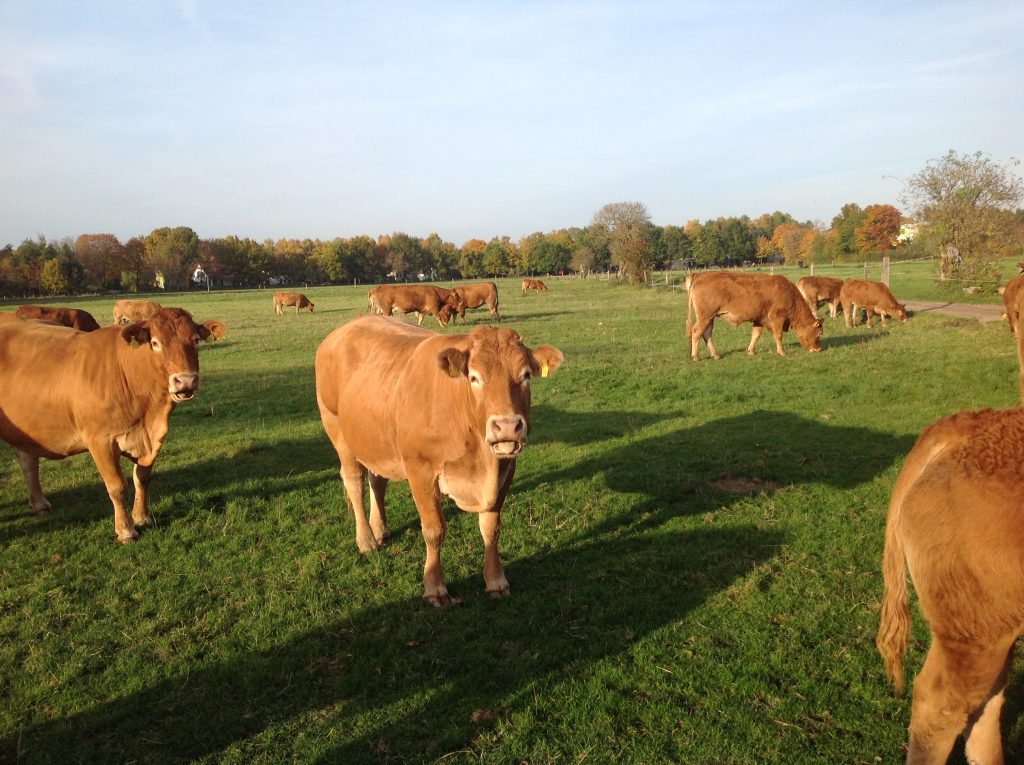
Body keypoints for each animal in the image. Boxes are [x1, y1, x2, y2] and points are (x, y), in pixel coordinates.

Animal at [0, 307, 226, 540]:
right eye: (155, 343)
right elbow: (117, 486)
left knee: (27, 460)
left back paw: (39, 503)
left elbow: (142, 478)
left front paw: (142, 516)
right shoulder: (100, 442)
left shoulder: (152, 439)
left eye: (196, 340)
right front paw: (125, 529)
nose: (186, 380)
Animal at [315, 315, 565, 606]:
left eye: (525, 375)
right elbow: (434, 530)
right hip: (337, 430)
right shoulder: (420, 471)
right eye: (474, 377)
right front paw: (434, 587)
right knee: (354, 481)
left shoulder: (506, 470)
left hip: (377, 440)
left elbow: (491, 528)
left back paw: (380, 529)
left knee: (378, 481)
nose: (506, 426)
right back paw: (366, 539)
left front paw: (496, 581)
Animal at [688, 272, 823, 362]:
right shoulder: (777, 318)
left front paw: (751, 351)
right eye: (819, 333)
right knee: (696, 332)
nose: (818, 349)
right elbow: (778, 335)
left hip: (710, 318)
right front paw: (782, 352)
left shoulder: (760, 319)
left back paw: (715, 355)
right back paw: (695, 356)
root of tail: (701, 275)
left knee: (706, 334)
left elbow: (756, 335)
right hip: (705, 317)